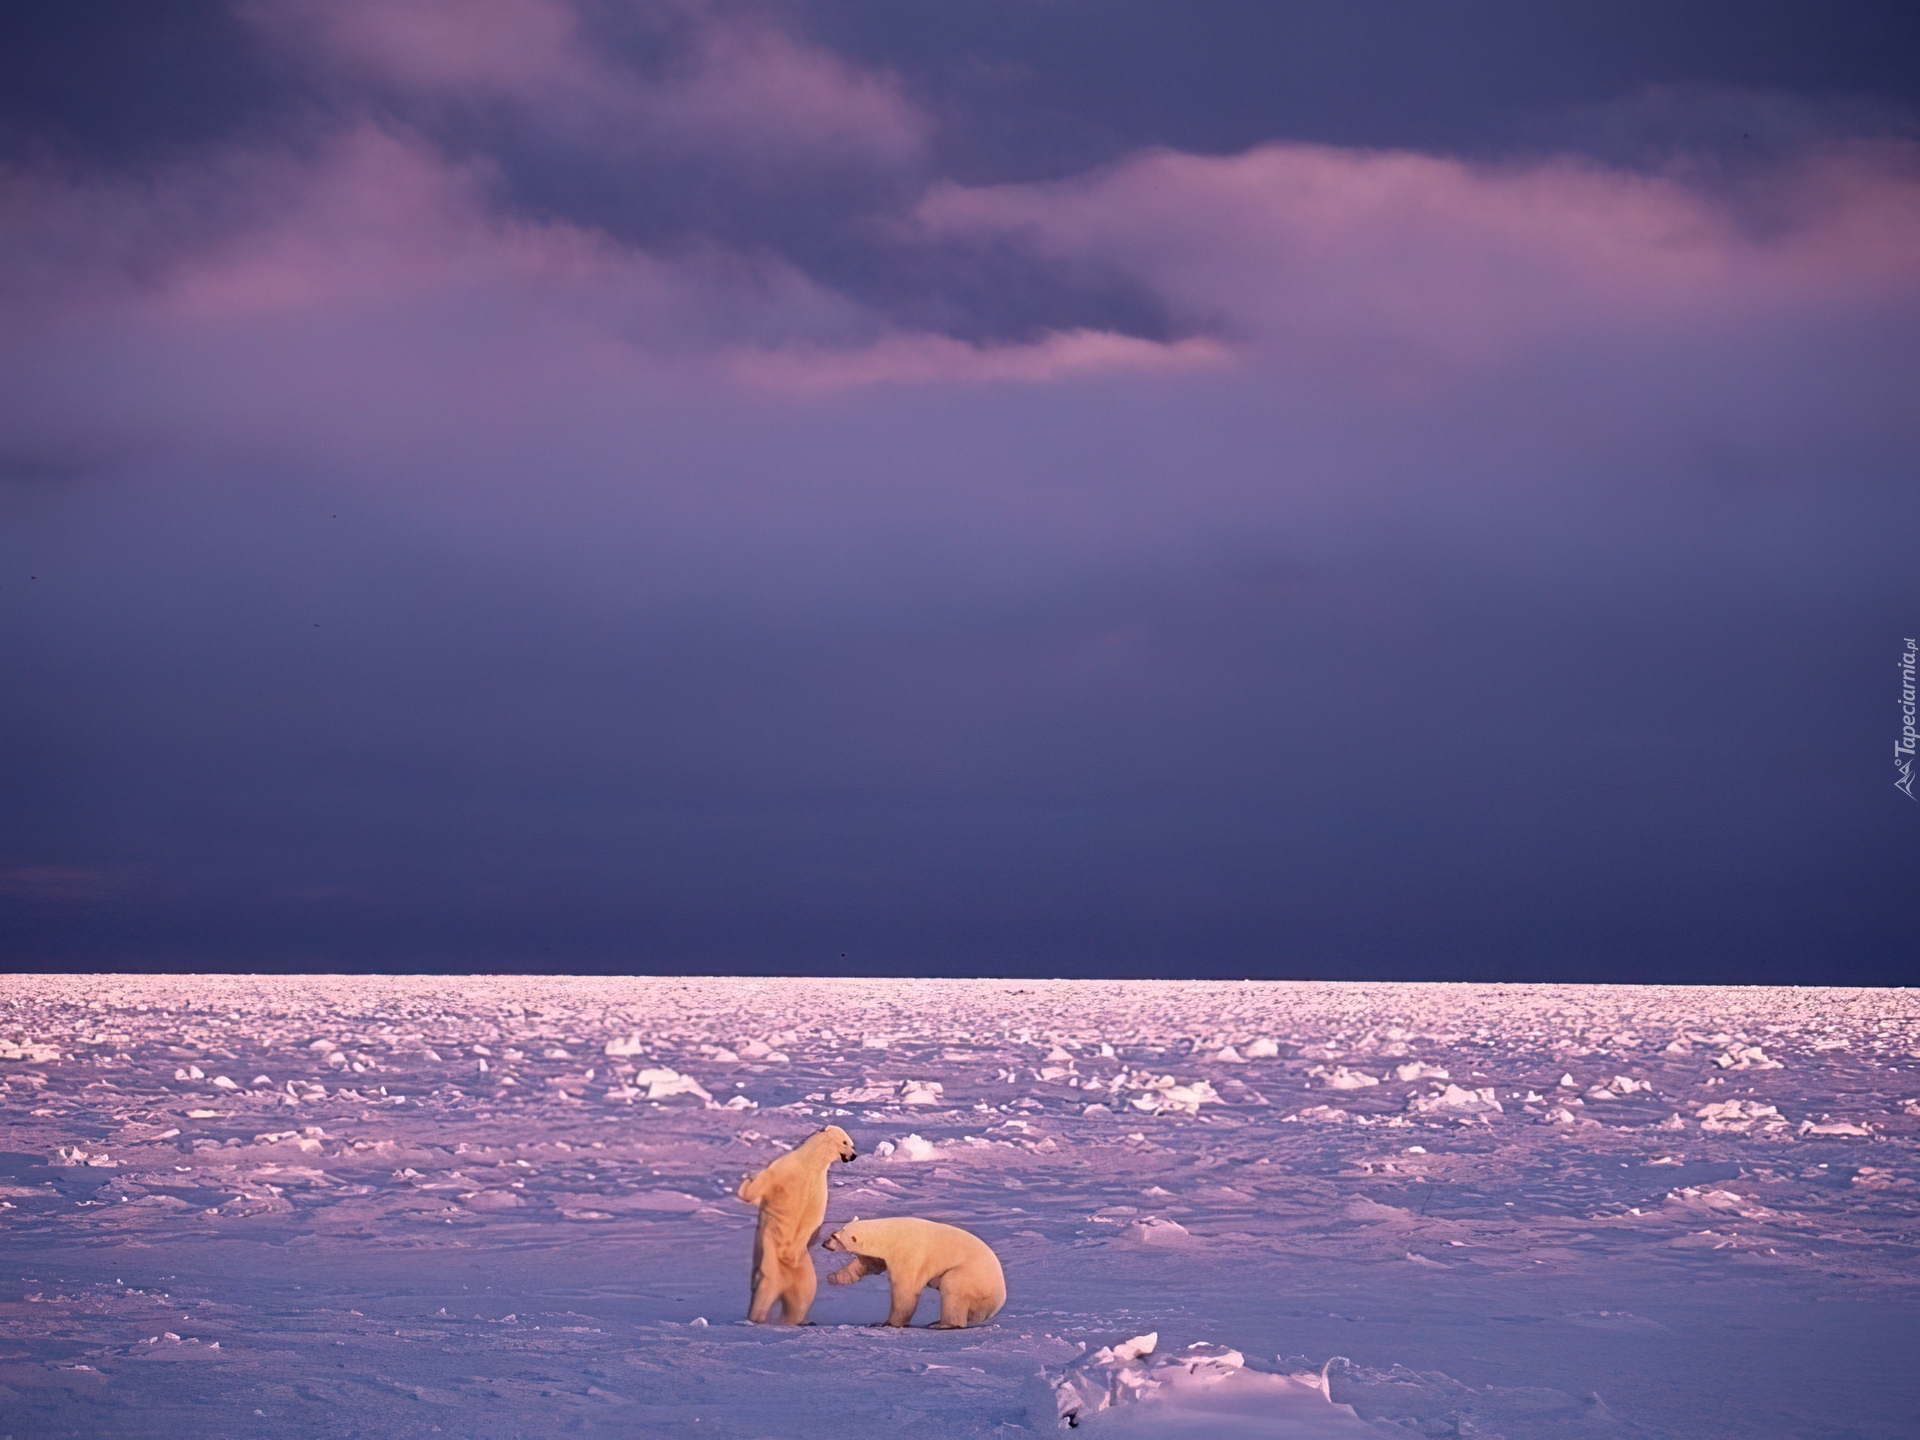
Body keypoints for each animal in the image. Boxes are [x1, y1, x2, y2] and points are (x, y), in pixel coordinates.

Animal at [733, 1128, 856, 1328]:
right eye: (846, 1142)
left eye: (851, 1144)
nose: (854, 1155)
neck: (811, 1162)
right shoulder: (786, 1167)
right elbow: (759, 1188)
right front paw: (748, 1176)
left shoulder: (814, 1183)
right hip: (771, 1259)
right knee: (765, 1290)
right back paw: (758, 1319)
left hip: (804, 1271)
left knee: (799, 1299)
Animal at [821, 1221, 1006, 1328]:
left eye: (835, 1237)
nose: (824, 1244)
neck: (889, 1235)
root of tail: (999, 1300)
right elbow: (870, 1264)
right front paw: (833, 1278)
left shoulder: (909, 1254)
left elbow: (906, 1290)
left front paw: (889, 1323)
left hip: (971, 1276)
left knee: (952, 1287)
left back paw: (942, 1324)